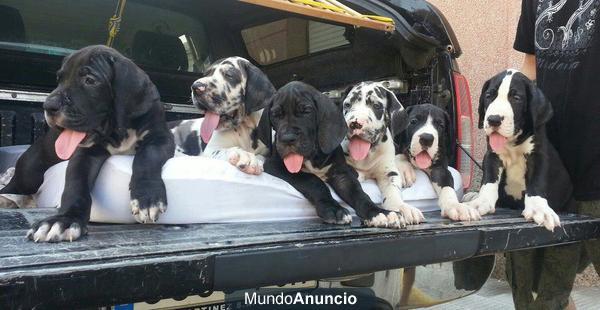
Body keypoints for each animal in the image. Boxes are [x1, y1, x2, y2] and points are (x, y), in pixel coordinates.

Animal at [0, 44, 176, 241]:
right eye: (59, 79)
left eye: (90, 80)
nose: (48, 106)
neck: (118, 130)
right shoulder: (84, 154)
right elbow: (76, 185)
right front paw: (65, 220)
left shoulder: (160, 138)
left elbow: (147, 157)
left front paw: (147, 197)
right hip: (29, 174)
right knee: (12, 186)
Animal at [256, 81, 404, 228]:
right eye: (275, 115)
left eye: (306, 111)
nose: (287, 138)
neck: (314, 157)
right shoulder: (275, 166)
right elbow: (313, 181)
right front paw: (334, 209)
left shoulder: (341, 174)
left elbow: (358, 192)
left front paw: (378, 212)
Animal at [340, 81, 424, 224]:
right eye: (347, 105)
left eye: (376, 106)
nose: (355, 123)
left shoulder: (388, 173)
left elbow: (393, 191)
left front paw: (402, 208)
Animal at [464, 69, 572, 230]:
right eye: (489, 96)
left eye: (516, 98)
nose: (494, 119)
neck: (513, 143)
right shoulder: (492, 156)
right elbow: (489, 180)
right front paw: (481, 201)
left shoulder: (538, 156)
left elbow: (537, 182)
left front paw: (539, 209)